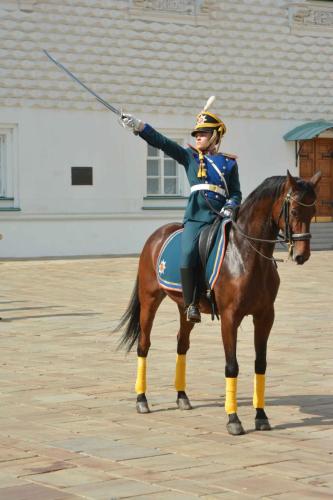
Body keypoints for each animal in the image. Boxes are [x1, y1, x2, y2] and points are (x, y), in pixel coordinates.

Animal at [115, 170, 320, 436]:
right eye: (294, 210)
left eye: (313, 210)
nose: (302, 255)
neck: (247, 254)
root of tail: (156, 235)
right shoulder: (230, 317)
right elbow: (231, 366)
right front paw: (233, 419)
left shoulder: (265, 316)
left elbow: (261, 364)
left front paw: (261, 416)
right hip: (149, 299)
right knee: (144, 344)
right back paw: (142, 400)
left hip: (185, 306)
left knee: (182, 344)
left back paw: (182, 396)